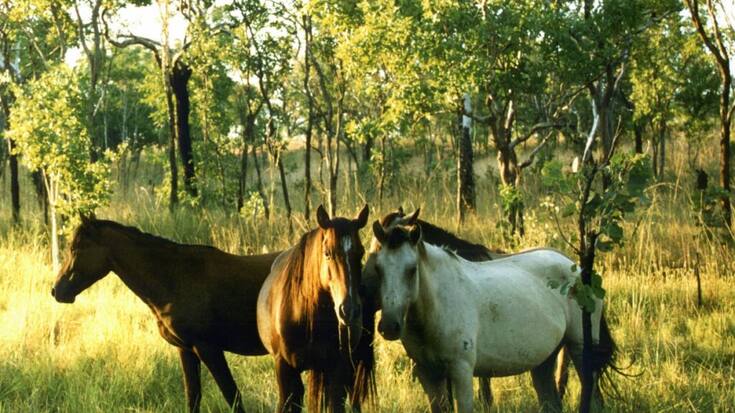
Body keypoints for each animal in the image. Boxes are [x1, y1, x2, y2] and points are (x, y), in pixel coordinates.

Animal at [51, 217, 280, 413]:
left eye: (75, 249)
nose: (57, 291)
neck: (174, 278)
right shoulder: (186, 350)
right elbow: (193, 397)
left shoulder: (209, 349)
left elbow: (233, 397)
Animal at [370, 212, 616, 413]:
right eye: (378, 269)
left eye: (412, 270)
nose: (389, 327)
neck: (436, 305)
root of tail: (578, 268)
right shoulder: (428, 374)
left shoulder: (461, 371)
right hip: (545, 360)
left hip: (581, 347)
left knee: (594, 397)